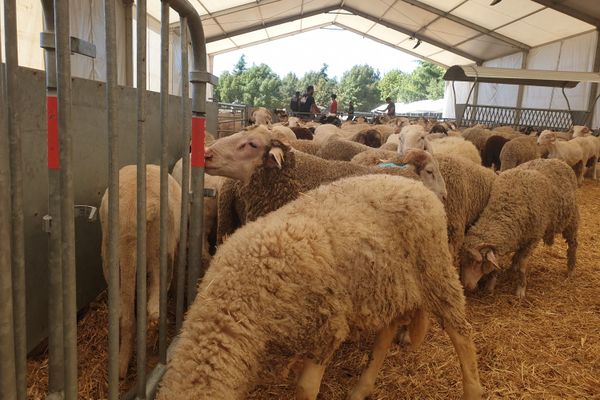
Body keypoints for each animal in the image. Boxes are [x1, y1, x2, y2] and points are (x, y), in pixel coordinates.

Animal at [156, 173, 482, 400]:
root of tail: (418, 186)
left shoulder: (327, 326)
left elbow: (305, 388)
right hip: (386, 280)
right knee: (387, 331)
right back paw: (361, 388)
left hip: (435, 268)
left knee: (462, 331)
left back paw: (473, 390)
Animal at [460, 158, 576, 298]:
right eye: (462, 261)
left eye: (476, 262)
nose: (466, 286)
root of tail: (556, 160)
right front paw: (490, 285)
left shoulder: (533, 239)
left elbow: (522, 264)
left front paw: (520, 289)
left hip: (572, 219)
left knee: (573, 244)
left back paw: (570, 270)